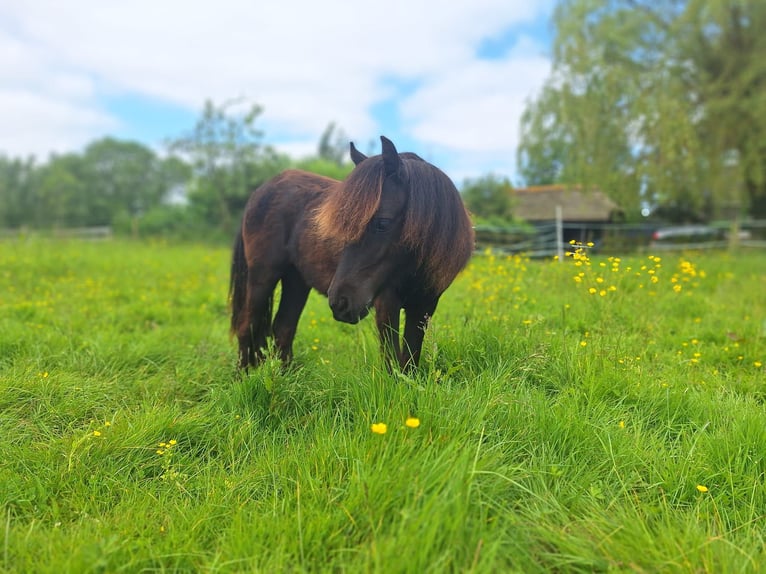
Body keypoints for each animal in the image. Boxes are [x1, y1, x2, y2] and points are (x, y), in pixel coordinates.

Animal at [231, 136, 476, 372]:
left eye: (382, 223)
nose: (340, 302)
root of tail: (260, 192)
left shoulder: (423, 307)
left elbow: (410, 361)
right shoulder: (387, 303)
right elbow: (392, 361)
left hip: (297, 281)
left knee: (283, 328)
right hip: (263, 277)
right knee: (247, 326)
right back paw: (242, 378)